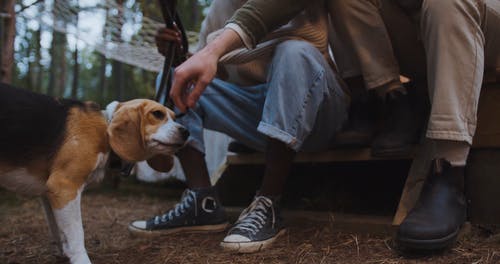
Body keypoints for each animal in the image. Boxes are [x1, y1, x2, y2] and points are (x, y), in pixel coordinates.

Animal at [0, 81, 188, 262]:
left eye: (175, 117)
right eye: (157, 114)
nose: (186, 131)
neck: (105, 128)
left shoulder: (49, 194)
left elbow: (59, 232)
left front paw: (64, 253)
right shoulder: (64, 186)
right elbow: (76, 234)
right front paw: (80, 258)